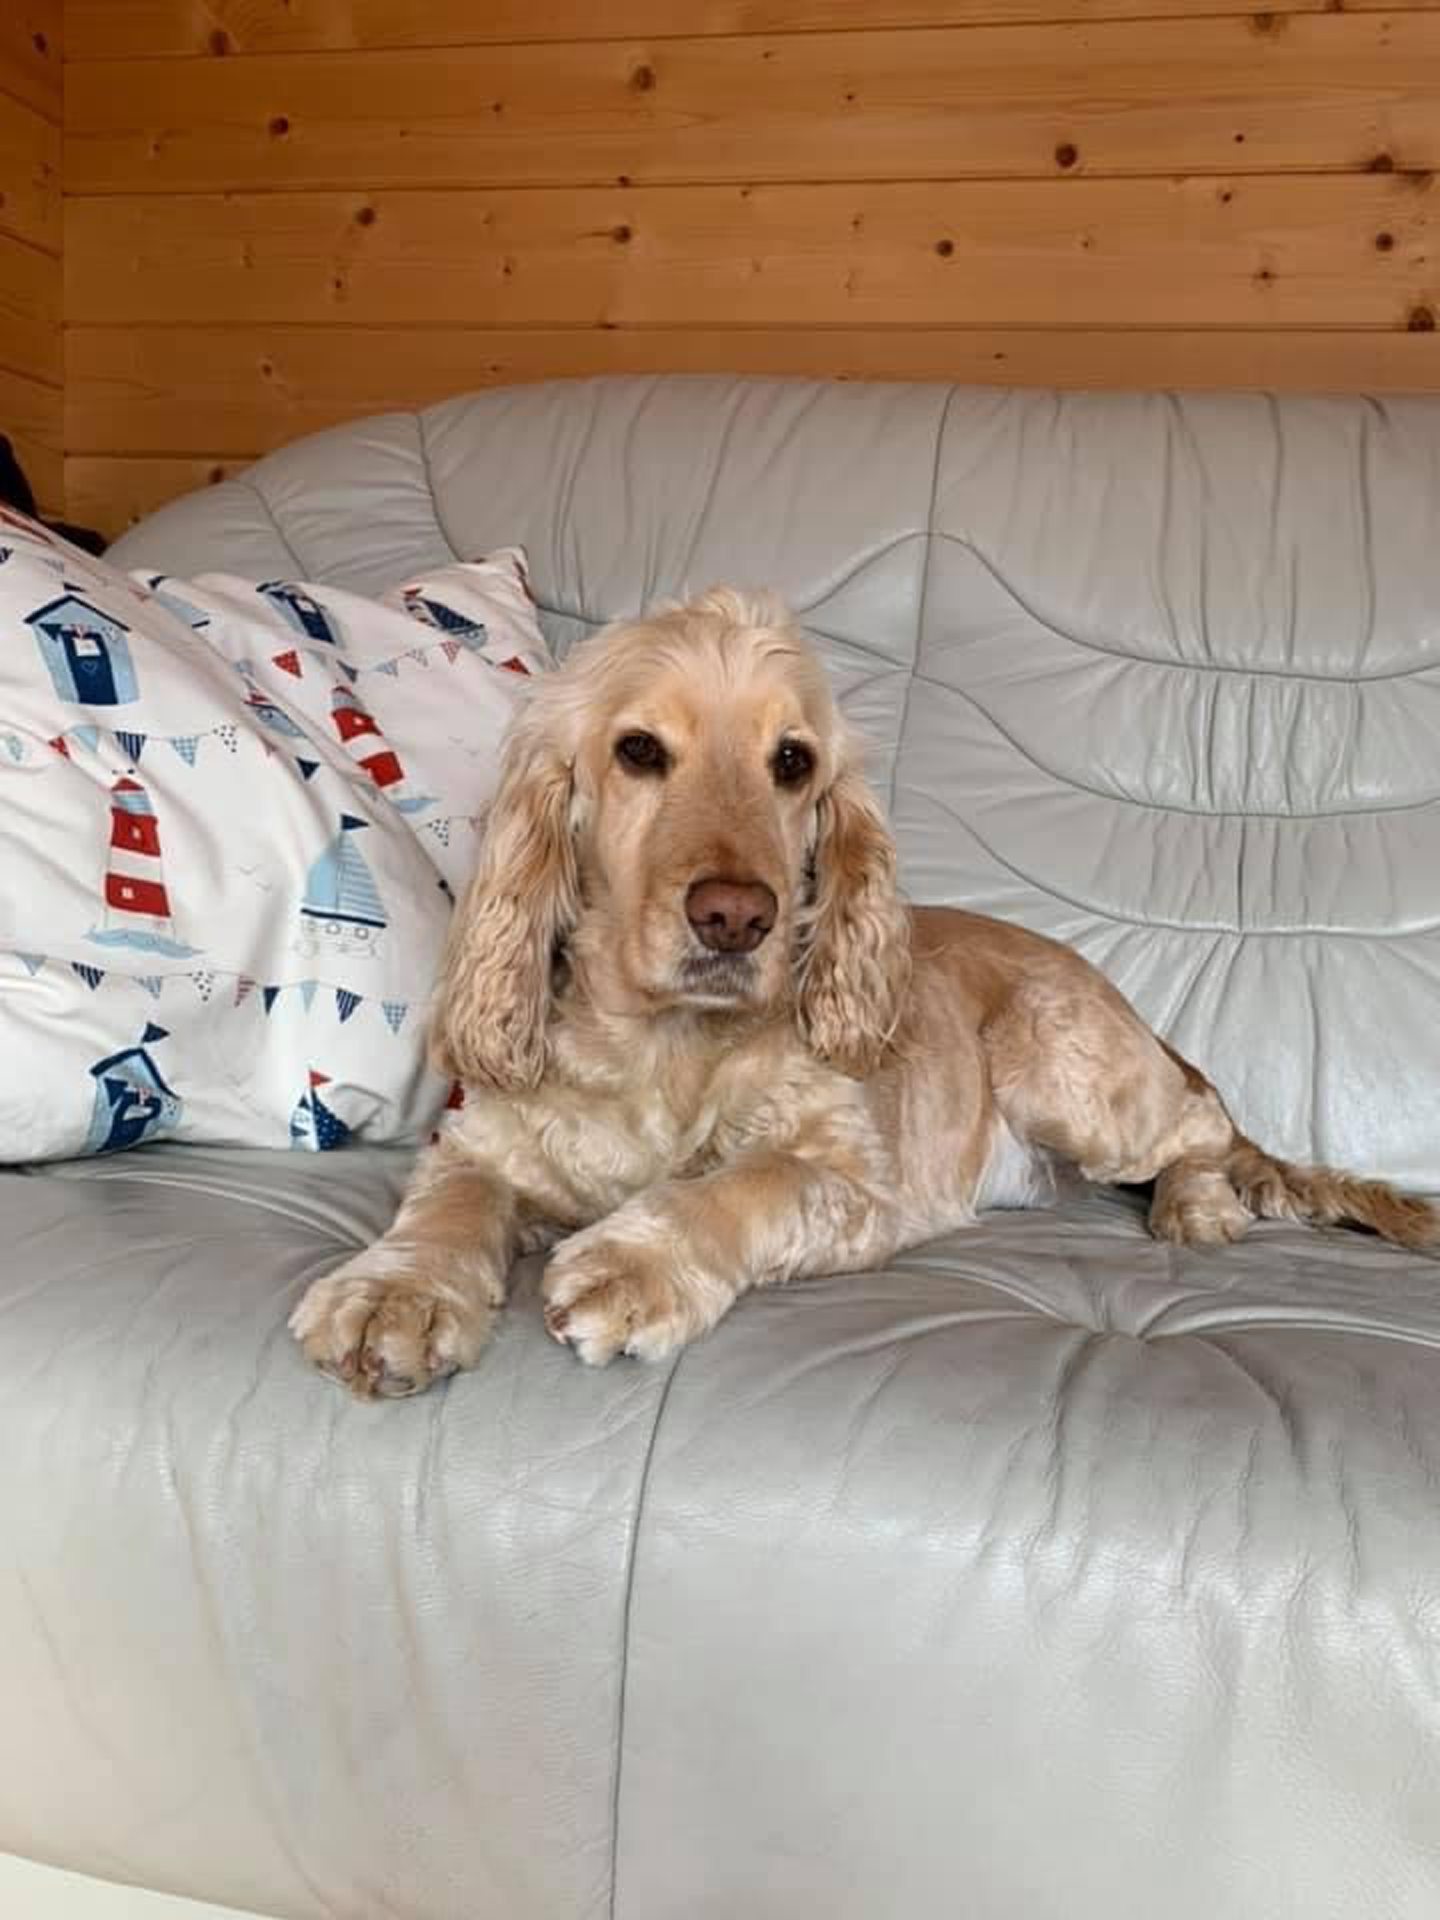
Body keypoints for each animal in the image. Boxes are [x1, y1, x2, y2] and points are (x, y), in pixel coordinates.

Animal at [293, 583, 1440, 1397]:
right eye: (638, 750)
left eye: (793, 763)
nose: (736, 917)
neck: (663, 1046)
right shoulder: (487, 1142)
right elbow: (451, 1202)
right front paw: (392, 1291)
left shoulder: (849, 1178)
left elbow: (741, 1183)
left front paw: (631, 1265)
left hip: (1071, 1070)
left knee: (1202, 1125)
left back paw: (1197, 1204)